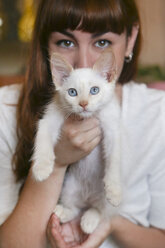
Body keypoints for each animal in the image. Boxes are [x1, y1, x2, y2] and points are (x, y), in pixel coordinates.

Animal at [32, 50, 122, 234]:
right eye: (72, 92)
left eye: (94, 90)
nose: (83, 104)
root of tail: (86, 197)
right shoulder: (51, 116)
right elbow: (43, 137)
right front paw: (42, 168)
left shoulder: (112, 128)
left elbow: (114, 157)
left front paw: (115, 190)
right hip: (68, 187)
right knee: (75, 209)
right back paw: (64, 212)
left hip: (101, 199)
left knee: (101, 210)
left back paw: (89, 220)